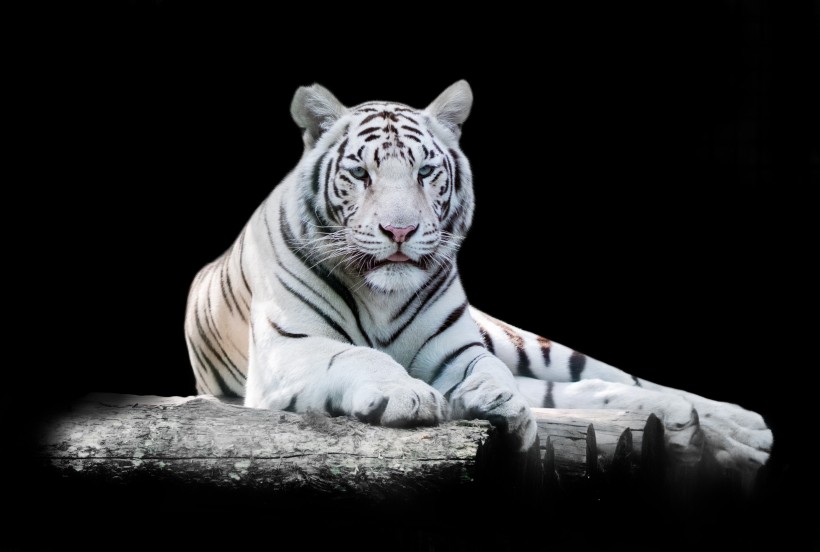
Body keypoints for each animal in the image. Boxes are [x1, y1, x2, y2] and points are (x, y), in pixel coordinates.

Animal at [184, 81, 772, 472]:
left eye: (424, 171)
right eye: (360, 173)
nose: (400, 231)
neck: (381, 297)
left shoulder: (459, 349)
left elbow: (489, 372)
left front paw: (500, 405)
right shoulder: (287, 350)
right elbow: (358, 355)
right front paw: (410, 396)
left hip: (524, 342)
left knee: (614, 378)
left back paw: (740, 429)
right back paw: (694, 427)